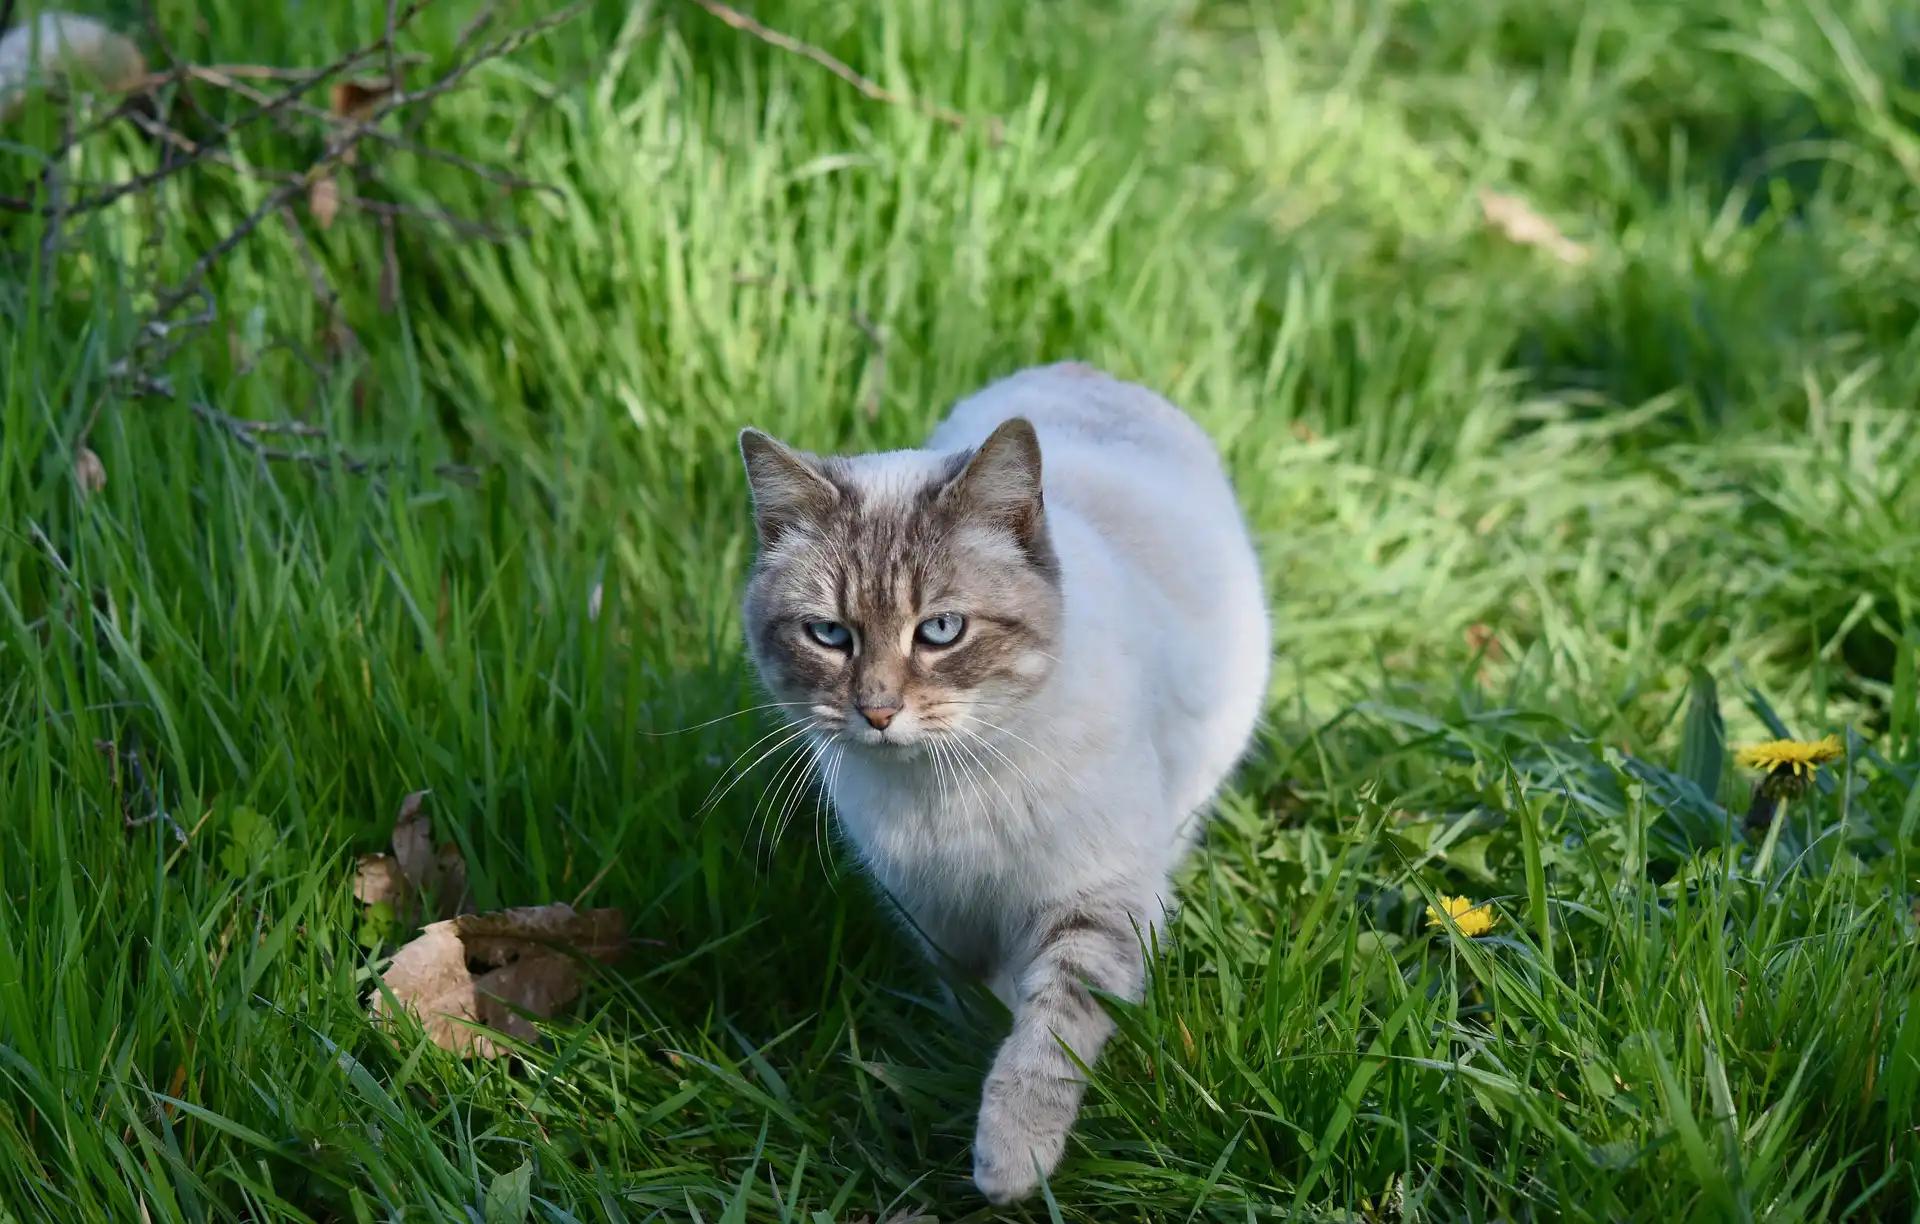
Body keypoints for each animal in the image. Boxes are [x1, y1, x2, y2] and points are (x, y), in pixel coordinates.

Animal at [725, 364, 1267, 1212]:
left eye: (941, 632)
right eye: (831, 635)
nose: (876, 712)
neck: (946, 789)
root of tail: (1085, 369)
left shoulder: (1096, 900)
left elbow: (1047, 1035)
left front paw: (1010, 1165)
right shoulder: (936, 911)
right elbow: (976, 999)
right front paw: (968, 1052)